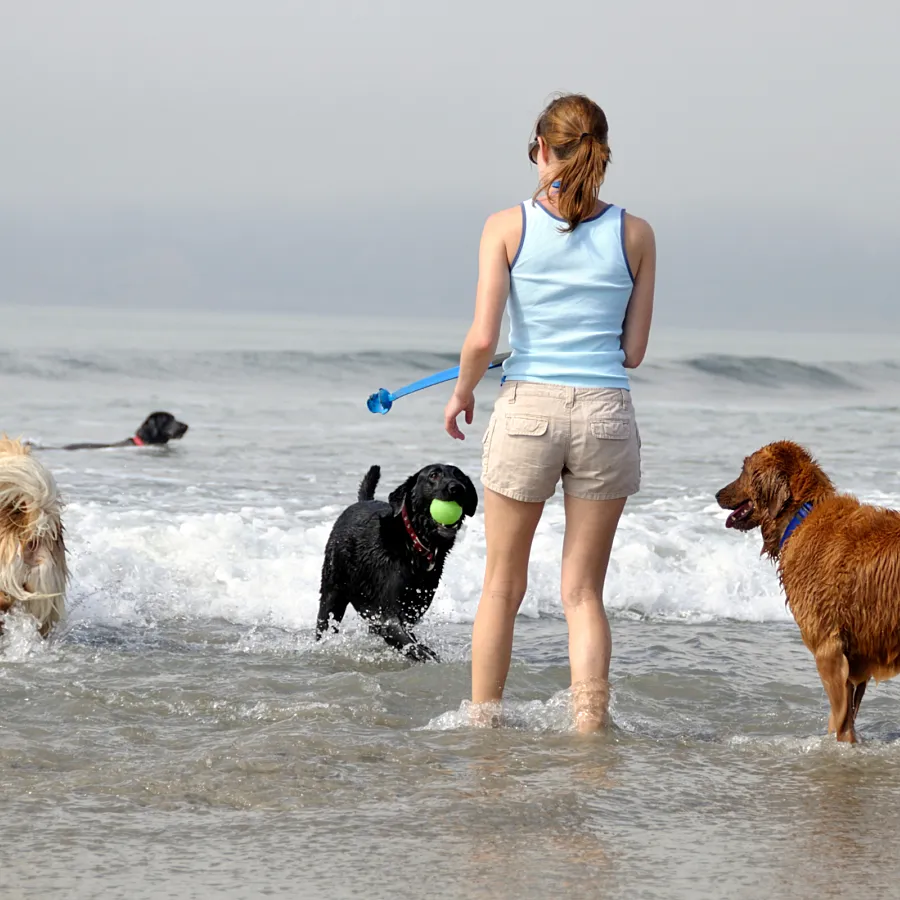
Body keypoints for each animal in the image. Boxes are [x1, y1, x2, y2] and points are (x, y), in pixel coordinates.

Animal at [320, 464, 482, 660]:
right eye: (433, 475)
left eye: (460, 476)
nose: (456, 488)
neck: (414, 543)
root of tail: (362, 501)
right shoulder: (387, 613)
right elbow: (410, 643)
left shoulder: (412, 609)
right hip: (332, 592)